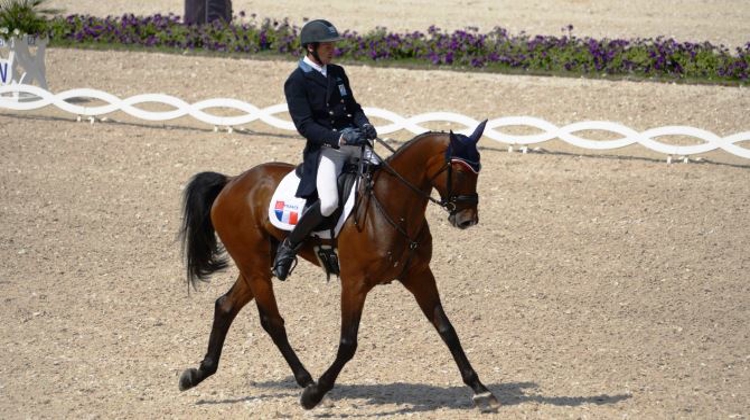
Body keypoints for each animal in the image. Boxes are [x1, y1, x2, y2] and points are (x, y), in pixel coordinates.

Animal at [178, 120, 502, 412]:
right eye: (459, 170)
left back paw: (197, 373)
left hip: (256, 264)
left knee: (226, 305)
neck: (392, 206)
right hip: (254, 265)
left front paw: (481, 390)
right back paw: (307, 383)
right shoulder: (355, 283)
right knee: (272, 321)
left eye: (478, 170)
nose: (467, 219)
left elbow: (446, 328)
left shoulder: (419, 275)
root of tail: (232, 182)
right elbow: (348, 343)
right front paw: (315, 394)